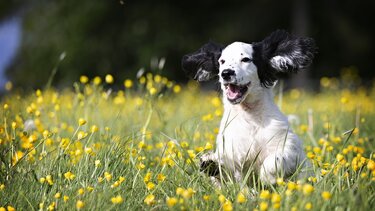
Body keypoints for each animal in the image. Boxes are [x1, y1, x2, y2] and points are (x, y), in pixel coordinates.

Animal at [182, 29, 318, 185]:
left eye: (245, 59)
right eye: (222, 61)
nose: (226, 73)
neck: (250, 117)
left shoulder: (289, 146)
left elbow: (274, 160)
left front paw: (268, 177)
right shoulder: (232, 152)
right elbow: (226, 172)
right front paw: (212, 164)